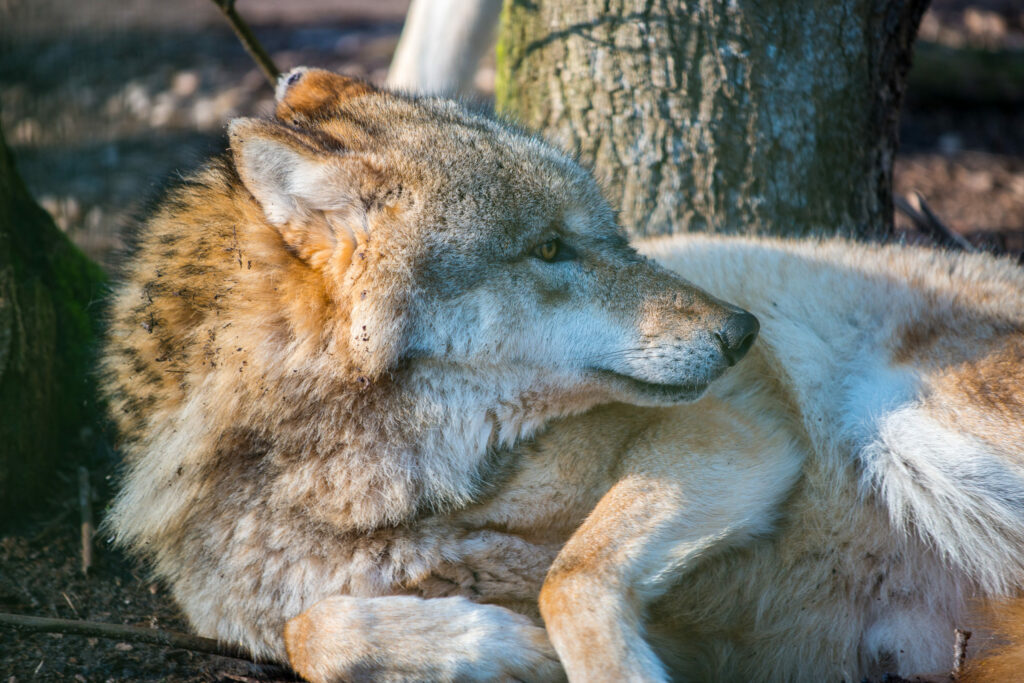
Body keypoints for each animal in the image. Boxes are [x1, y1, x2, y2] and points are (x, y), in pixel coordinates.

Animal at [101, 70, 1024, 683]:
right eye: (549, 248)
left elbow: (568, 579)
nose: (742, 333)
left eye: (612, 233)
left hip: (900, 428)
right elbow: (311, 635)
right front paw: (490, 644)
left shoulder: (738, 429)